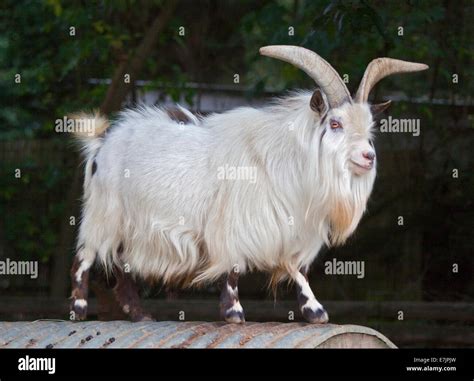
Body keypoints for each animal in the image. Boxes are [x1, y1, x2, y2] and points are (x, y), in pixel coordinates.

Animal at [70, 45, 430, 324]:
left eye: (370, 127)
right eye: (335, 123)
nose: (368, 156)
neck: (285, 161)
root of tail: (102, 142)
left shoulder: (287, 225)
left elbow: (296, 268)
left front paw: (315, 311)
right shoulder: (233, 223)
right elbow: (233, 267)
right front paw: (234, 313)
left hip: (130, 228)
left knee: (122, 268)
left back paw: (140, 315)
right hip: (105, 214)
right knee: (86, 255)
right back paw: (79, 309)